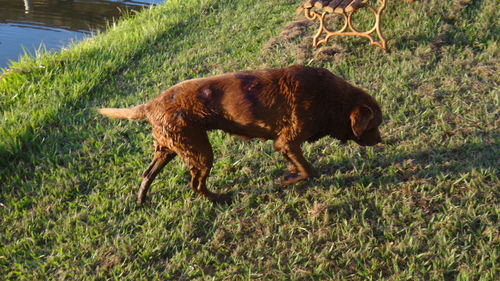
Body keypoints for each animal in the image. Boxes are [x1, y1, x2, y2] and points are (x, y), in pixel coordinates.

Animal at [98, 65, 382, 202]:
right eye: (374, 125)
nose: (381, 140)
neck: (331, 100)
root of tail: (151, 104)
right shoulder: (288, 141)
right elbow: (308, 171)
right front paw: (287, 180)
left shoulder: (285, 145)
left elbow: (298, 164)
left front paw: (289, 172)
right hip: (199, 151)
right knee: (195, 184)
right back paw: (218, 199)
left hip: (170, 147)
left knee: (147, 175)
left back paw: (141, 200)